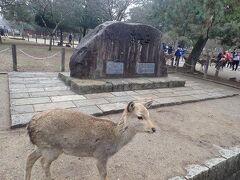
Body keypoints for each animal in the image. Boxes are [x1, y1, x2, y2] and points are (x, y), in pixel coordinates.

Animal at [24, 100, 156, 179]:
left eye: (149, 114)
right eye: (140, 116)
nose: (153, 129)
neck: (115, 138)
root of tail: (30, 126)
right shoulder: (100, 155)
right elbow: (104, 174)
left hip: (41, 146)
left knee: (30, 158)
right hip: (53, 148)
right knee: (43, 162)